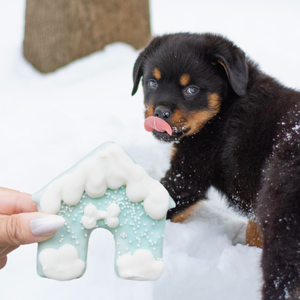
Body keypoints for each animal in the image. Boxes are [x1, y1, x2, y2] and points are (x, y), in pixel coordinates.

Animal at [132, 31, 300, 298]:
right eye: (152, 83)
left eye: (191, 89)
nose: (159, 114)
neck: (222, 111)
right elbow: (253, 233)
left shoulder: (189, 171)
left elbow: (158, 203)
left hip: (283, 217)